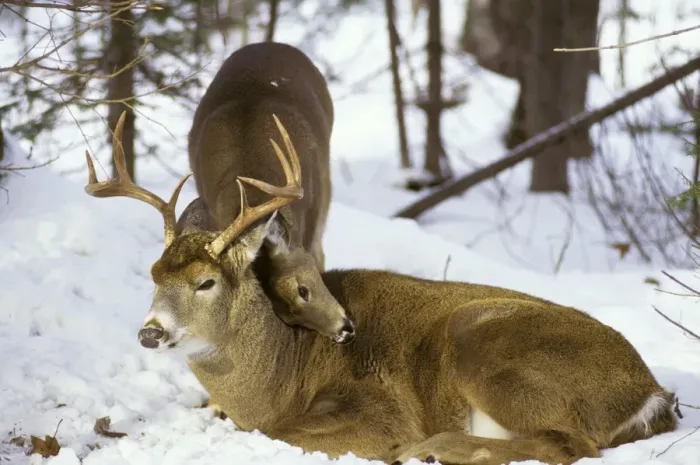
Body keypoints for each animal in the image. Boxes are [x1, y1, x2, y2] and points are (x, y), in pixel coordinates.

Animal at [84, 111, 677, 465]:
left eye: (206, 281)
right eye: (154, 274)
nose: (150, 332)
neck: (279, 378)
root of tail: (649, 392)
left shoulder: (376, 408)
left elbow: (285, 434)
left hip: (488, 344)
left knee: (571, 444)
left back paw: (433, 446)